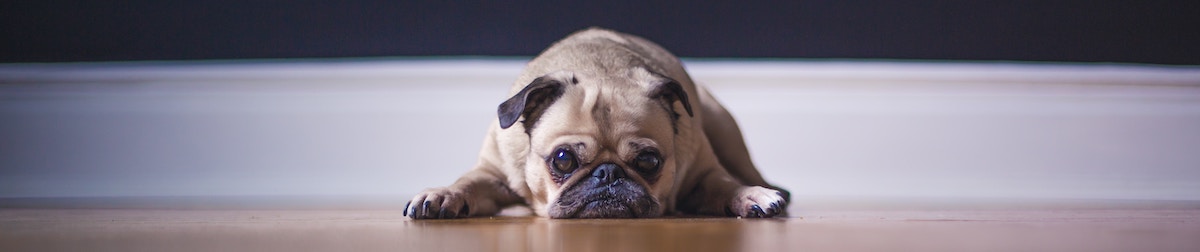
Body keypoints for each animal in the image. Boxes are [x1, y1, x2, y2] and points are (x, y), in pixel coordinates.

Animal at [408, 28, 792, 218]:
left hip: (723, 127)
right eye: (563, 160)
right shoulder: (492, 174)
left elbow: (726, 184)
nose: (608, 173)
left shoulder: (703, 173)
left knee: (746, 169)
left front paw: (750, 195)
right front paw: (442, 194)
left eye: (649, 161)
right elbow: (467, 182)